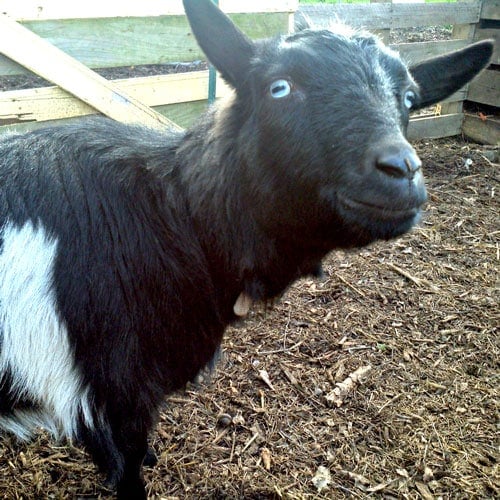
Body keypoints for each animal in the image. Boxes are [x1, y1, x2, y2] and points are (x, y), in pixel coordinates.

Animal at [0, 0, 492, 496]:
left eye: (409, 99)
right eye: (279, 87)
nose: (401, 170)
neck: (171, 216)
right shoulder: (111, 385)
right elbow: (126, 460)